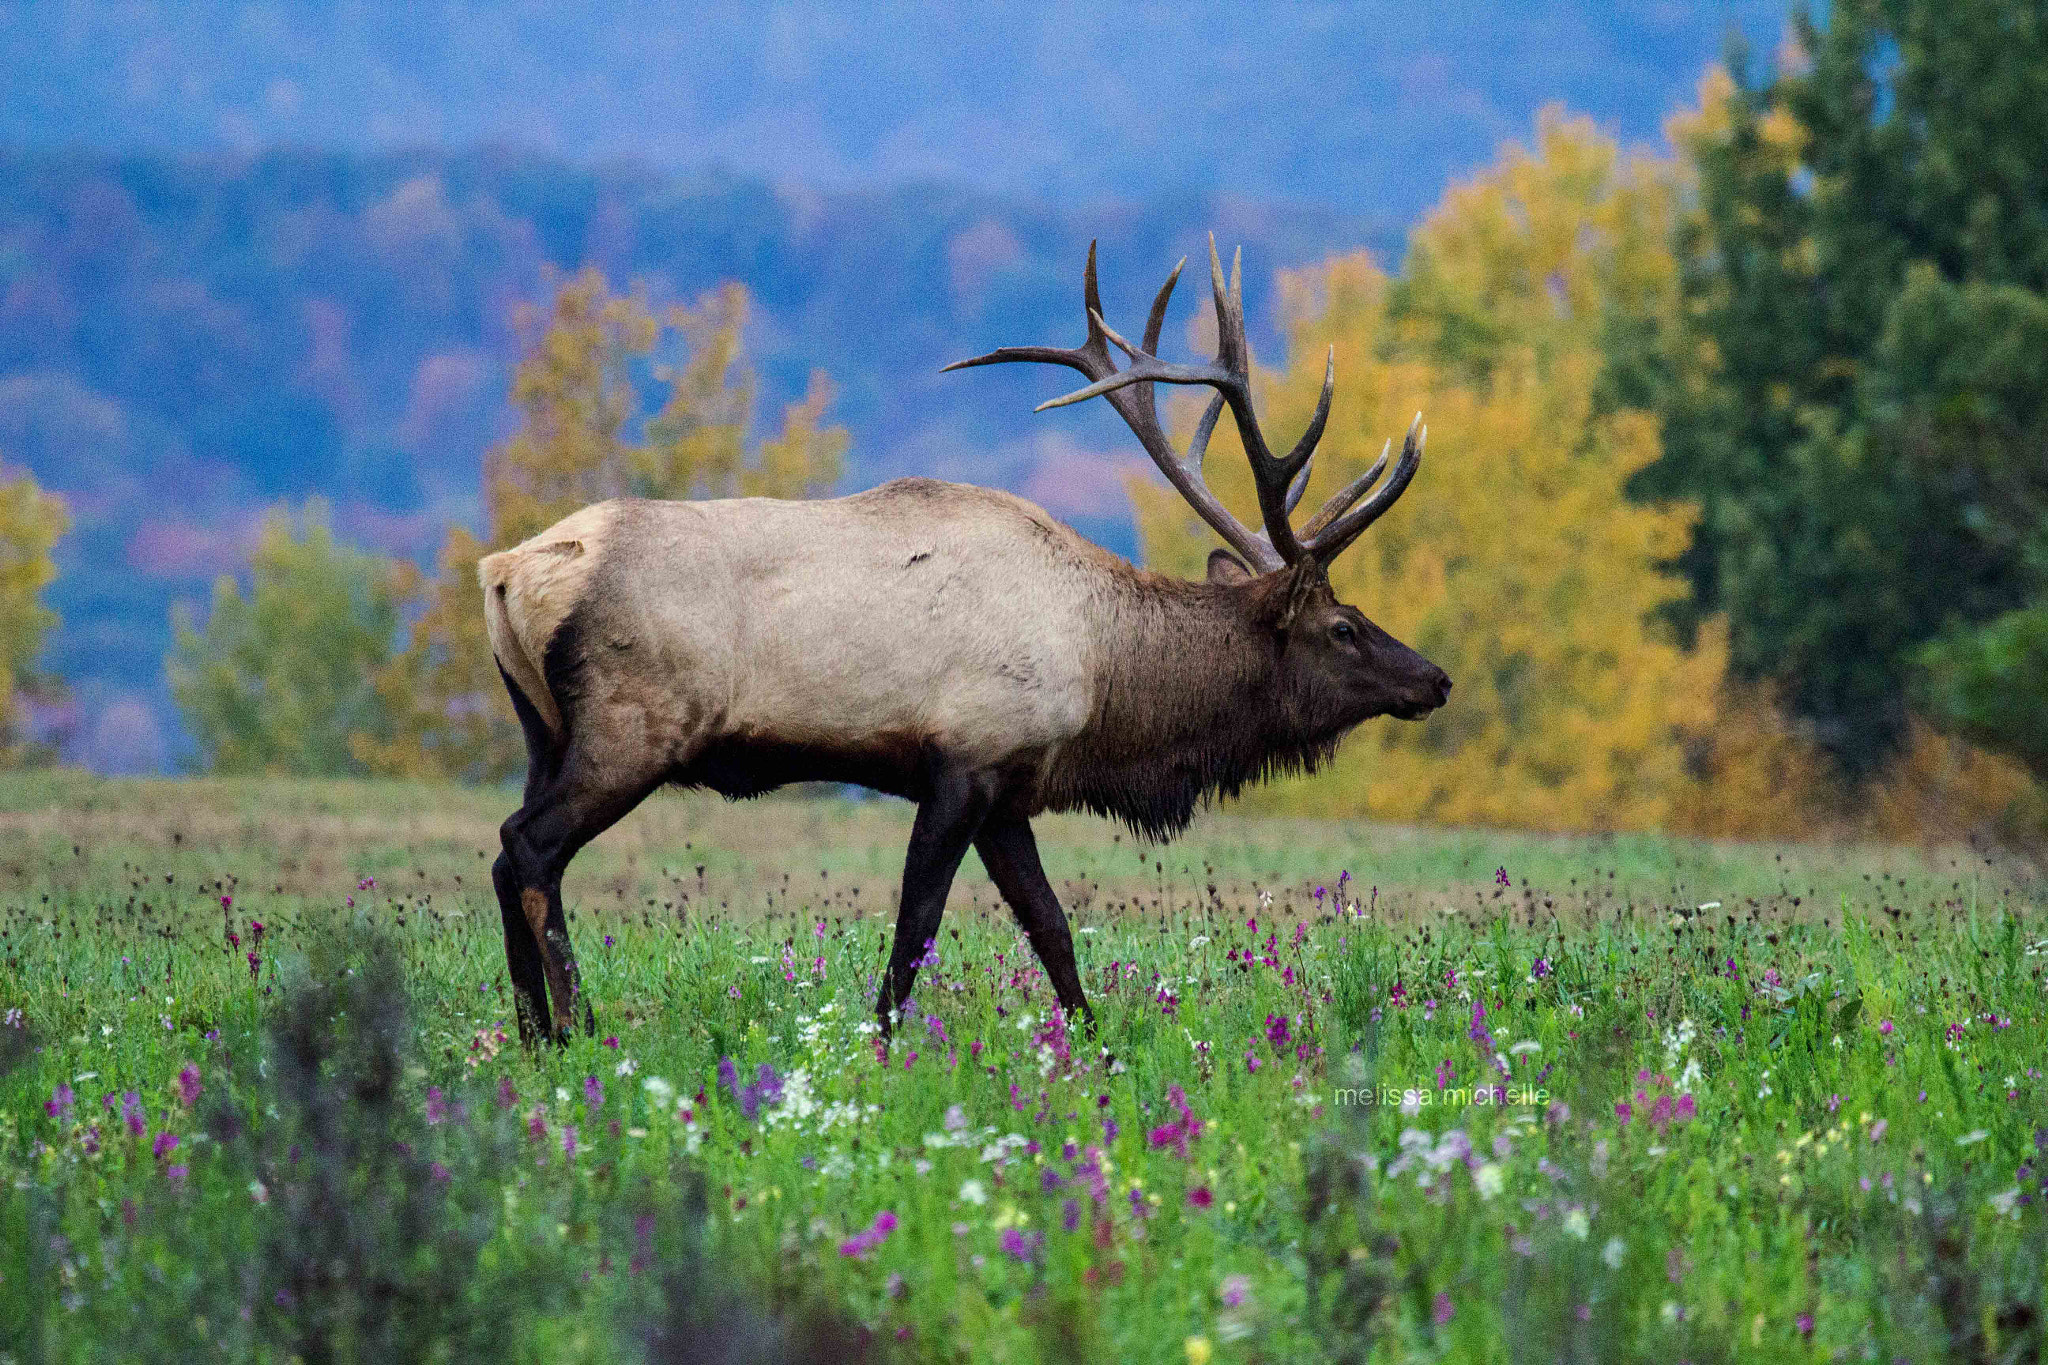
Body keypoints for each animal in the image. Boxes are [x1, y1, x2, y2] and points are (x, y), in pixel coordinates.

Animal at [480, 238, 1450, 1047]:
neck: (1107, 679)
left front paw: (1096, 1048)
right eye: (1343, 627)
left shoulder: (1012, 787)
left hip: (542, 732)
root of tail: (504, 571)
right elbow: (916, 928)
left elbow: (1052, 927)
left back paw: (530, 1035)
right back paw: (578, 1028)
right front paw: (878, 1049)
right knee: (530, 847)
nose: (1435, 679)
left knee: (502, 851)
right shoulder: (963, 761)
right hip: (631, 728)